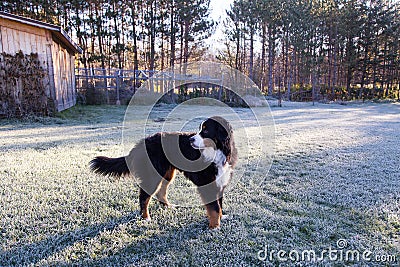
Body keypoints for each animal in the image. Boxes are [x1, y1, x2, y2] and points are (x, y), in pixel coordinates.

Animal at [89, 116, 236, 229]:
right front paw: (214, 226)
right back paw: (146, 217)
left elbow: (219, 205)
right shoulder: (207, 183)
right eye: (200, 128)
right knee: (144, 197)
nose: (190, 140)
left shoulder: (220, 181)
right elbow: (214, 207)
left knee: (161, 192)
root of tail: (141, 143)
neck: (217, 152)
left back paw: (168, 206)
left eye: (205, 129)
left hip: (167, 173)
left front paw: (221, 217)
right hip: (153, 176)